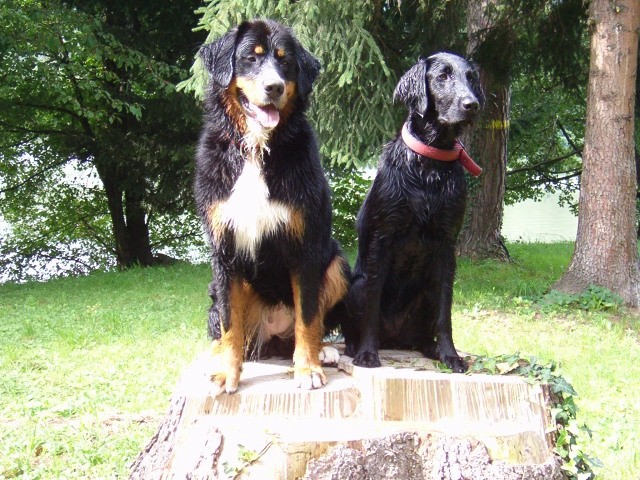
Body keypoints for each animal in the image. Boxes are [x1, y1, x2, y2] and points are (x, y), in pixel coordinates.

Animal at [348, 54, 482, 374]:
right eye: (443, 76)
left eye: (471, 77)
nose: (472, 104)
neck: (429, 164)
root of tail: (396, 339)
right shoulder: (382, 238)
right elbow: (372, 304)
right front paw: (367, 354)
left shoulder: (447, 244)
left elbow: (445, 313)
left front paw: (450, 355)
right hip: (355, 286)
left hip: (425, 292)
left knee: (424, 332)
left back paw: (431, 348)